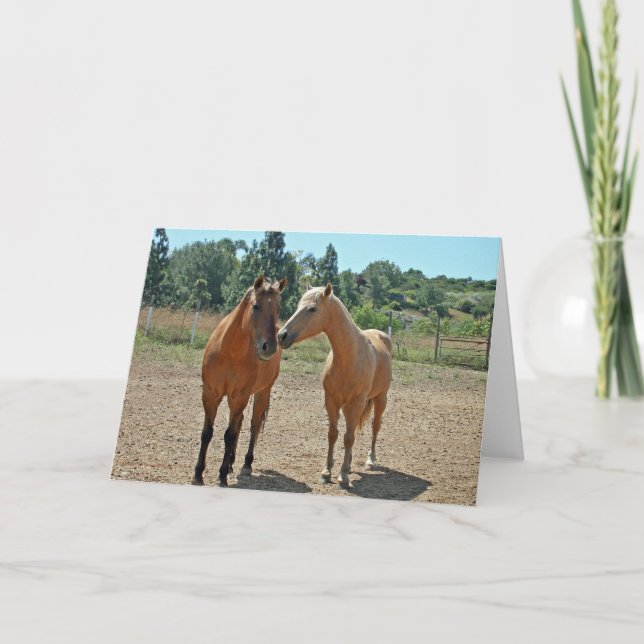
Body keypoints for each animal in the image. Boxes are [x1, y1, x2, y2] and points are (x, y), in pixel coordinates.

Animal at [192, 275, 287, 487]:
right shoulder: (210, 394)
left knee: (253, 425)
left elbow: (229, 434)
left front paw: (222, 476)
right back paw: (232, 463)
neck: (230, 352)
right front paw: (198, 474)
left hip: (262, 392)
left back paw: (245, 465)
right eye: (256, 306)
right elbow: (207, 432)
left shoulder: (239, 397)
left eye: (278, 308)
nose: (270, 347)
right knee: (241, 423)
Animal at [277, 284, 393, 487]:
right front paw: (327, 472)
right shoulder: (331, 400)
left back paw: (370, 461)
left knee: (375, 426)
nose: (281, 335)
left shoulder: (357, 402)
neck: (349, 356)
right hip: (349, 406)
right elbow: (333, 434)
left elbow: (348, 437)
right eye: (298, 306)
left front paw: (344, 475)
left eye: (312, 309)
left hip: (380, 398)